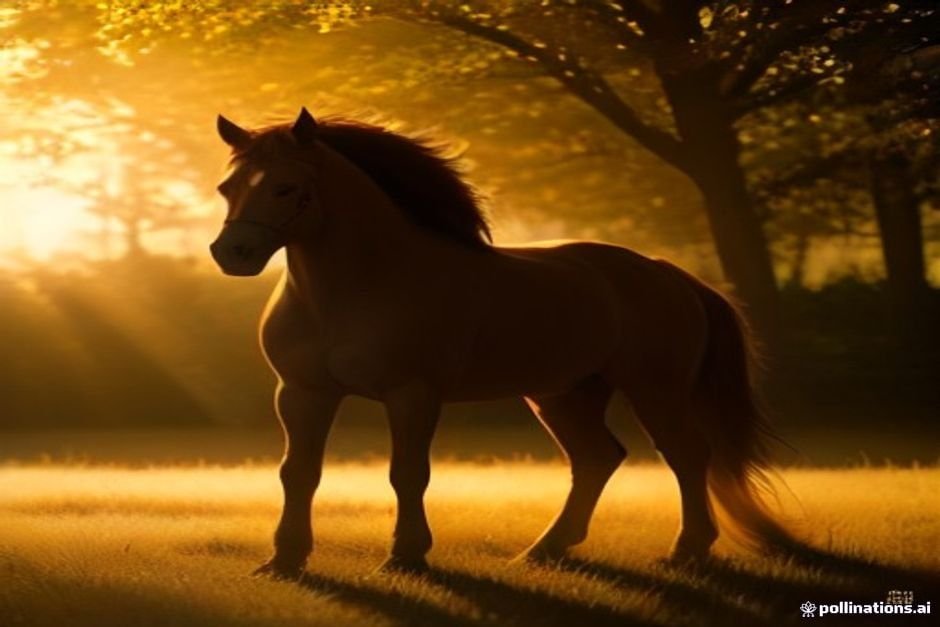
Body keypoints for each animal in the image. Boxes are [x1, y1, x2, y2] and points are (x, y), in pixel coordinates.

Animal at [210, 107, 793, 578]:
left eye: (286, 187)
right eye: (227, 187)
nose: (232, 253)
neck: (354, 288)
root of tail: (666, 272)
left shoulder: (412, 395)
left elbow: (407, 474)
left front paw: (406, 556)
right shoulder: (302, 394)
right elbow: (298, 474)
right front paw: (284, 559)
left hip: (654, 390)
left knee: (687, 456)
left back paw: (686, 551)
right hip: (563, 394)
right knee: (597, 459)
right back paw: (546, 550)